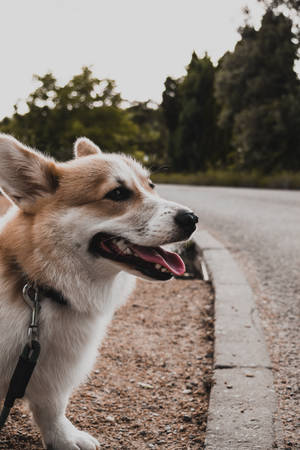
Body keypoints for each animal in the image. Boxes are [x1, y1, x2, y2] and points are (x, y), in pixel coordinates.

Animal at [0, 134, 197, 450]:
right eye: (117, 194)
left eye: (151, 186)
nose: (192, 218)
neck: (40, 286)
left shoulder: (50, 371)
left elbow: (52, 408)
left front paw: (63, 439)